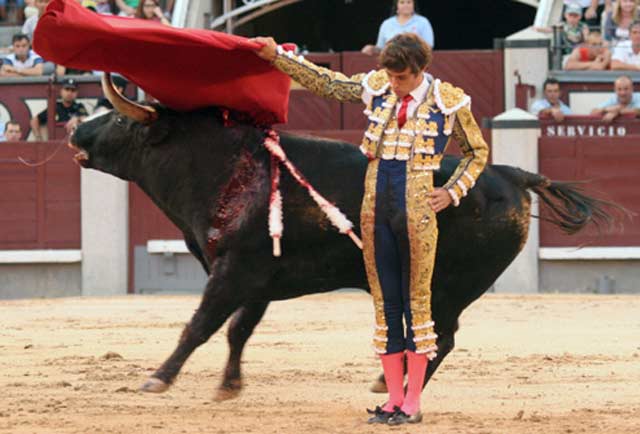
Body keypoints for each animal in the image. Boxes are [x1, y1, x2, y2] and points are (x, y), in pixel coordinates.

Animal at [69, 105, 608, 400]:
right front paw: (229, 385)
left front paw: (157, 379)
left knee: (442, 338)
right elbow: (239, 331)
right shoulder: (258, 280)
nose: (74, 129)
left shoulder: (232, 273)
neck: (222, 168)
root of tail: (511, 173)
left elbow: (200, 326)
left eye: (120, 118)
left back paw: (394, 387)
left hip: (446, 286)